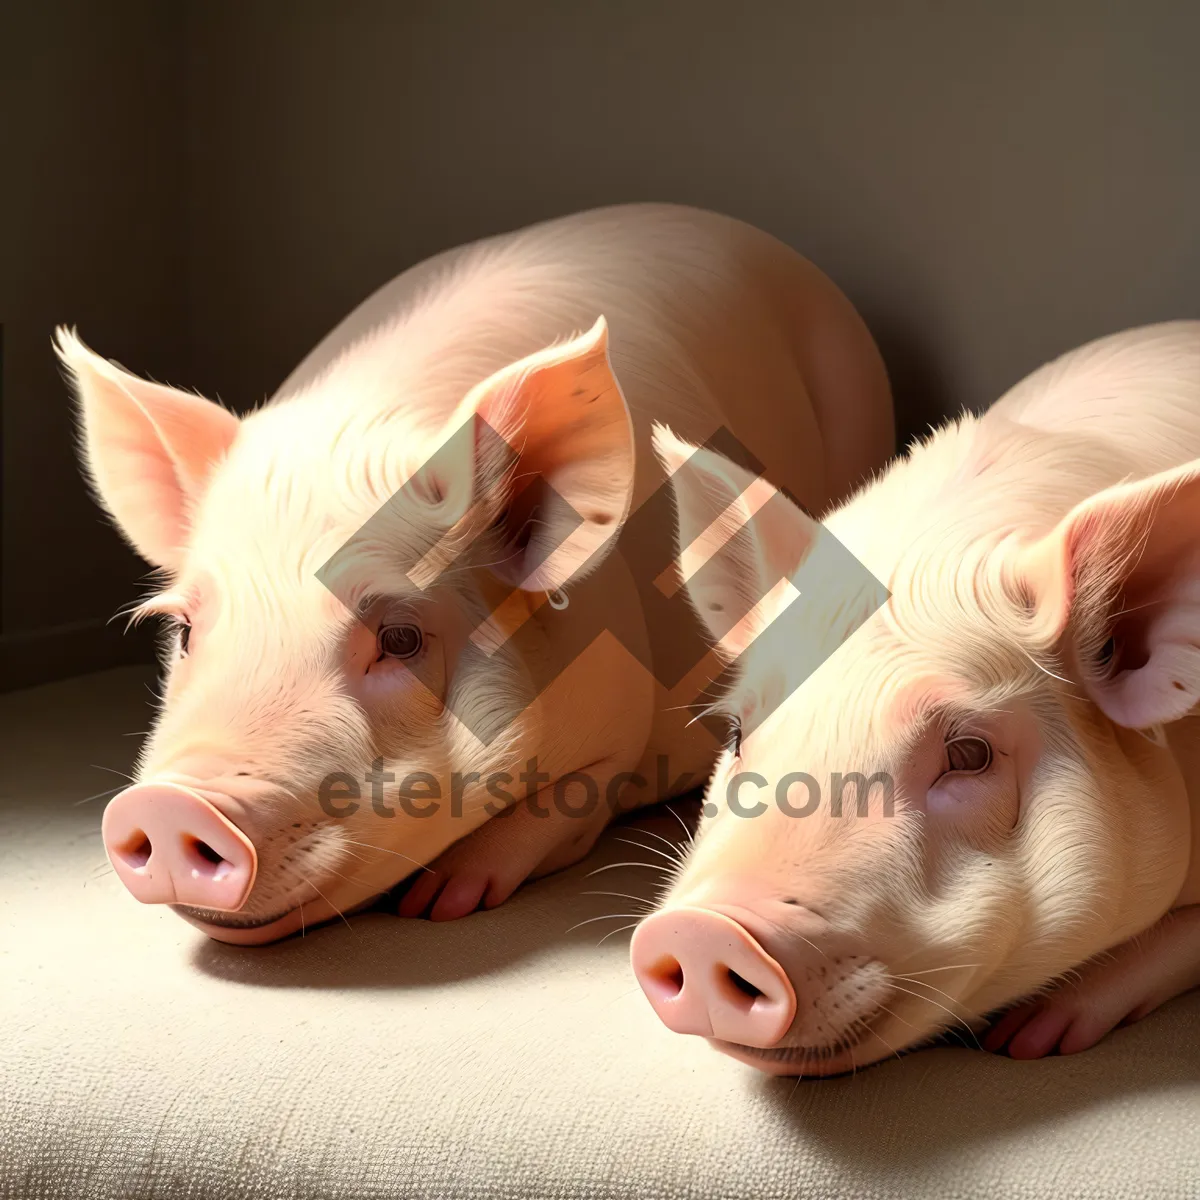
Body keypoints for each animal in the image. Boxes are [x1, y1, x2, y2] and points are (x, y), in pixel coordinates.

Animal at [60, 206, 897, 945]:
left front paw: (440, 903)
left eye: (400, 638)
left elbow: (568, 802)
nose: (170, 805)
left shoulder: (622, 721)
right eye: (185, 629)